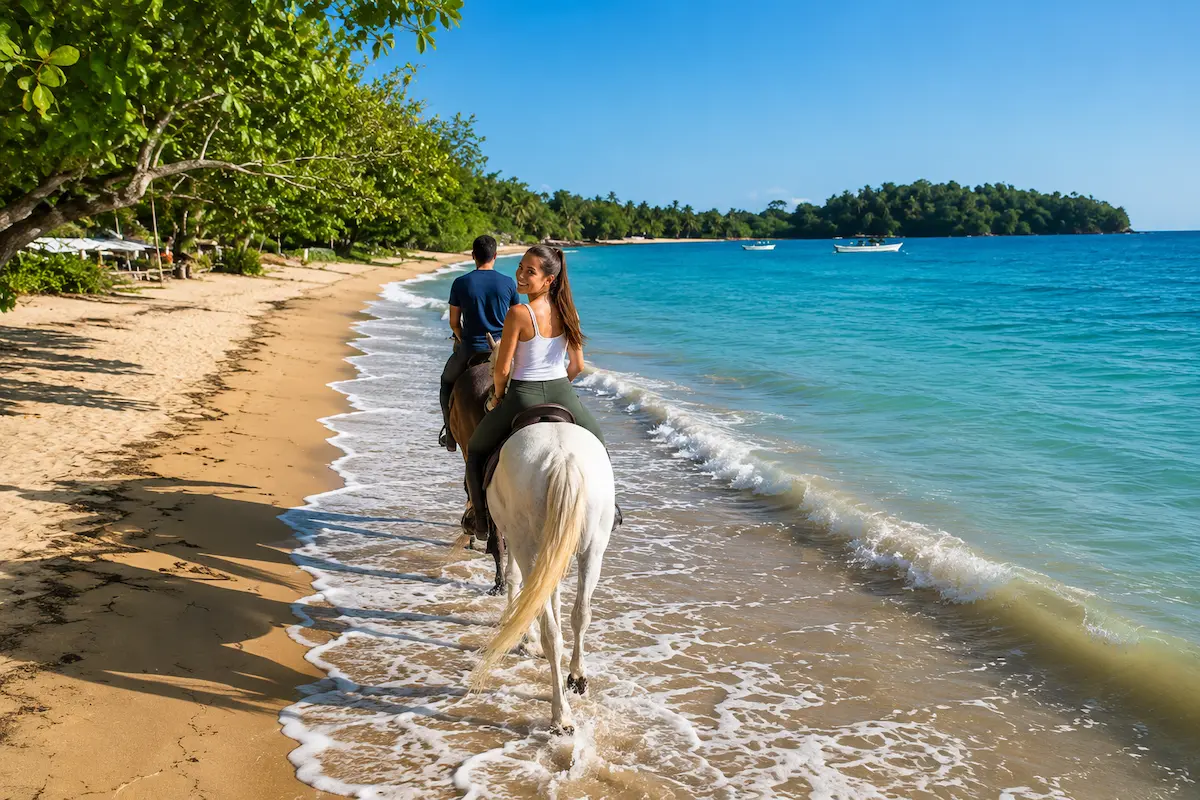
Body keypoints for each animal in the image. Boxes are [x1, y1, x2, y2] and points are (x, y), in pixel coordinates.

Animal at [469, 422, 615, 734]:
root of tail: (562, 459)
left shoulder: (512, 538)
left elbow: (514, 578)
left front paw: (524, 636)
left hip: (528, 546)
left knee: (550, 631)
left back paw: (561, 716)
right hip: (593, 548)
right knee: (580, 615)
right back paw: (577, 677)